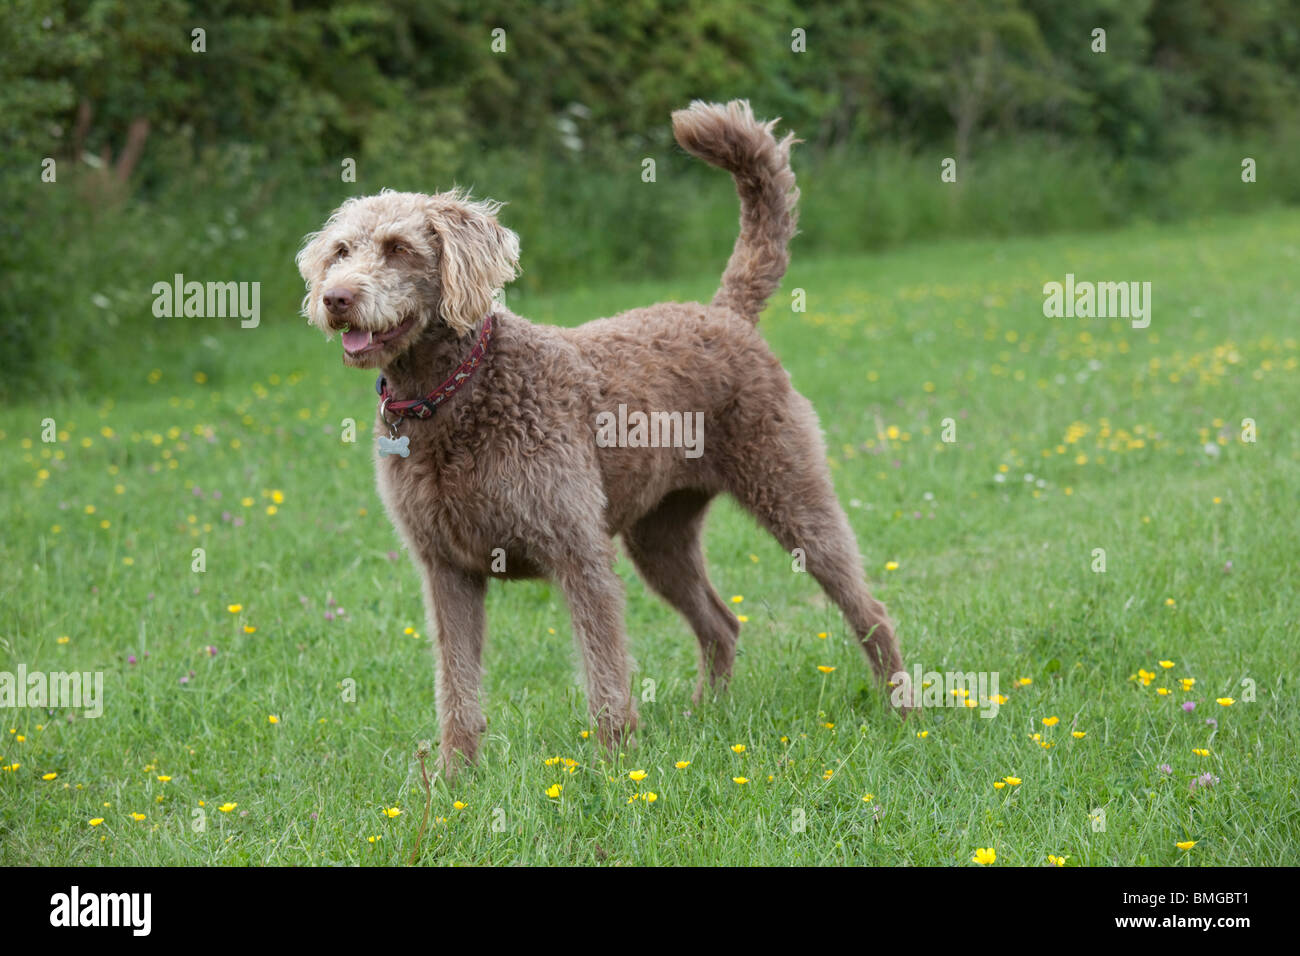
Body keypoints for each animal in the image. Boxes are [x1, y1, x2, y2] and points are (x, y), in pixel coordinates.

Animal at [297, 100, 904, 775]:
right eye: (340, 251)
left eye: (399, 247)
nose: (336, 297)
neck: (453, 395)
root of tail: (724, 312)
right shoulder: (446, 568)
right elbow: (456, 683)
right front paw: (457, 776)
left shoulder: (576, 551)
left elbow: (604, 670)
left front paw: (616, 769)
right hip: (659, 535)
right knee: (722, 624)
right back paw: (707, 716)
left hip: (790, 489)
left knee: (867, 607)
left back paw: (901, 709)